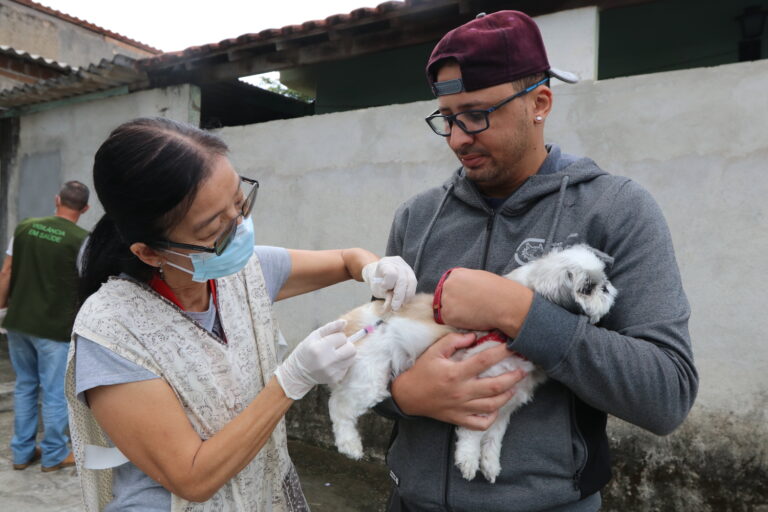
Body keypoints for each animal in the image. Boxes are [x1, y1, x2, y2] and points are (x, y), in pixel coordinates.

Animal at [330, 244, 616, 484]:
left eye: (603, 279)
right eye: (587, 288)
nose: (607, 289)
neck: (503, 336)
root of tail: (356, 321)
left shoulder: (505, 407)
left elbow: (493, 439)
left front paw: (490, 465)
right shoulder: (478, 394)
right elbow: (474, 434)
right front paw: (468, 460)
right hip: (370, 378)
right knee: (339, 407)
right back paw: (349, 445)